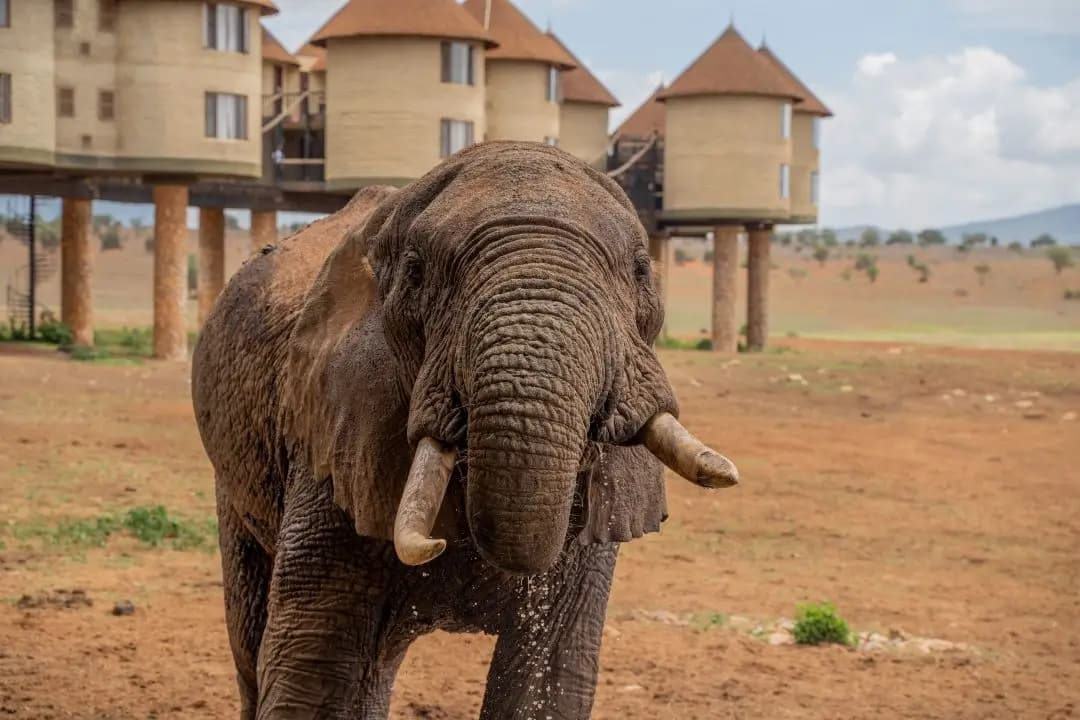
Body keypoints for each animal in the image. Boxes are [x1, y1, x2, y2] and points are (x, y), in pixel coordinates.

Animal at [192, 142, 734, 720]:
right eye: (415, 273)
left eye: (640, 271)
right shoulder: (333, 432)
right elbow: (313, 673)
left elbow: (549, 676)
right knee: (253, 638)